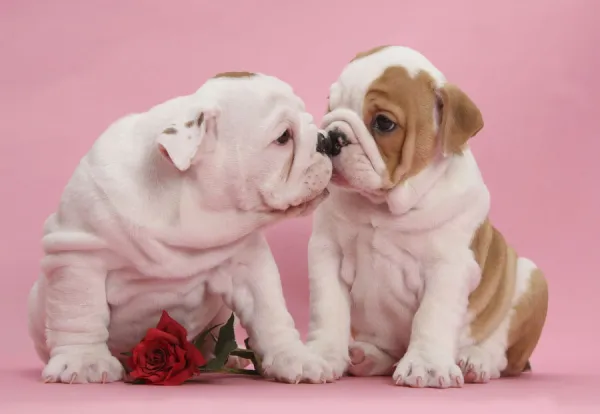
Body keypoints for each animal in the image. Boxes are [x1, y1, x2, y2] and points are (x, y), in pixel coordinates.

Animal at [27, 71, 332, 384]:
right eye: (283, 137)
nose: (325, 139)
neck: (184, 200)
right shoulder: (78, 256)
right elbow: (79, 312)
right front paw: (84, 360)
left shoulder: (249, 263)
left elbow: (270, 312)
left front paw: (294, 357)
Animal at [304, 46, 548, 388]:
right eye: (331, 104)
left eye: (383, 123)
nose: (330, 136)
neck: (385, 206)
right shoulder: (327, 252)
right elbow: (328, 308)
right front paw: (322, 355)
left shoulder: (448, 267)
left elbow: (432, 315)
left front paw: (427, 365)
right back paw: (368, 357)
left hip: (530, 277)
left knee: (502, 350)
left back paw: (476, 361)